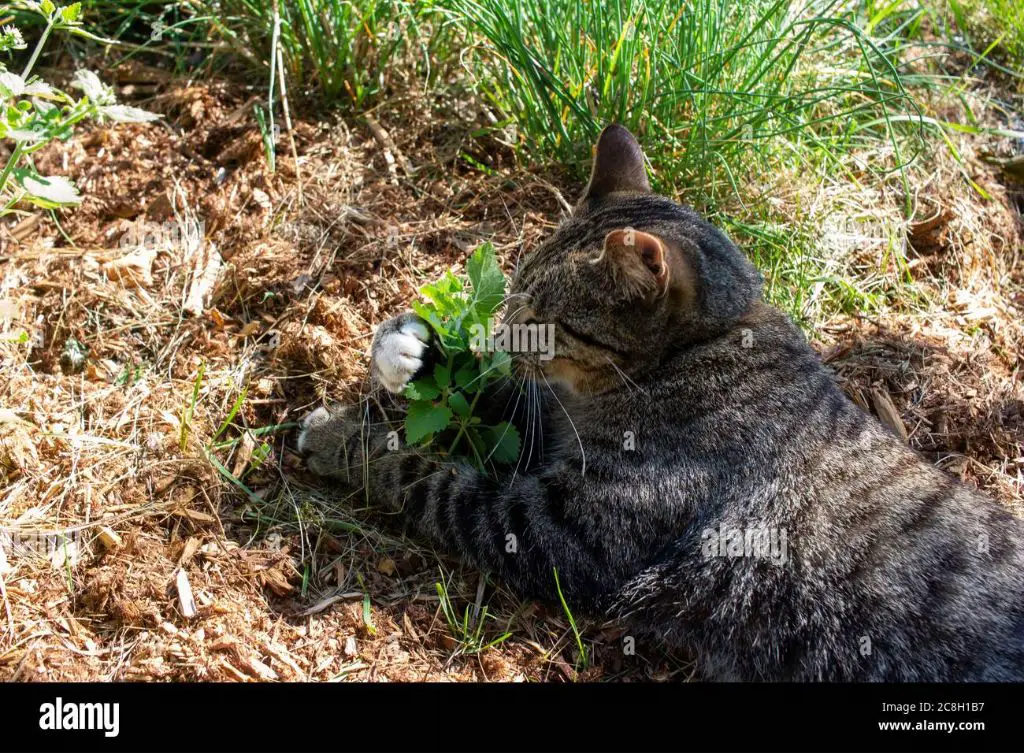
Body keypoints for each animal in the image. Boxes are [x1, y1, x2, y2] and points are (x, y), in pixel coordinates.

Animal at [299, 124, 1024, 684]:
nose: (503, 337)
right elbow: (485, 394)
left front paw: (338, 439)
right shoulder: (550, 415)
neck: (703, 344)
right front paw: (411, 348)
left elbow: (427, 477)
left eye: (544, 319)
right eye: (512, 295)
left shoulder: (557, 526)